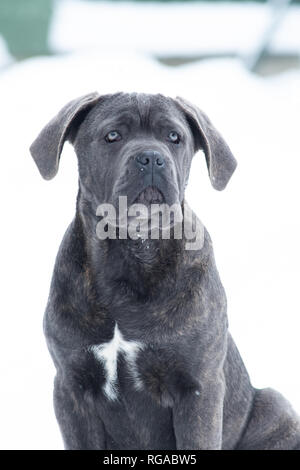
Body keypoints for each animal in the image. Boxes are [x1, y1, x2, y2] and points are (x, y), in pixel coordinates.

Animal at [29, 91, 300, 448]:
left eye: (174, 137)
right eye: (112, 135)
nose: (151, 157)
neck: (132, 253)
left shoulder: (197, 388)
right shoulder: (72, 389)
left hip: (275, 405)